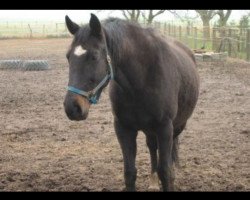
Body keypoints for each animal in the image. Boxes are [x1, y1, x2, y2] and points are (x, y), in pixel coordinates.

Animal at [63, 13, 200, 191]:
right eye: (68, 57)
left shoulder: (165, 128)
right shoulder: (123, 128)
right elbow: (129, 173)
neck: (141, 80)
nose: (72, 107)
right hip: (150, 129)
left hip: (177, 126)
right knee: (152, 146)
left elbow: (165, 171)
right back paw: (153, 182)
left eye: (94, 56)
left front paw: (168, 179)